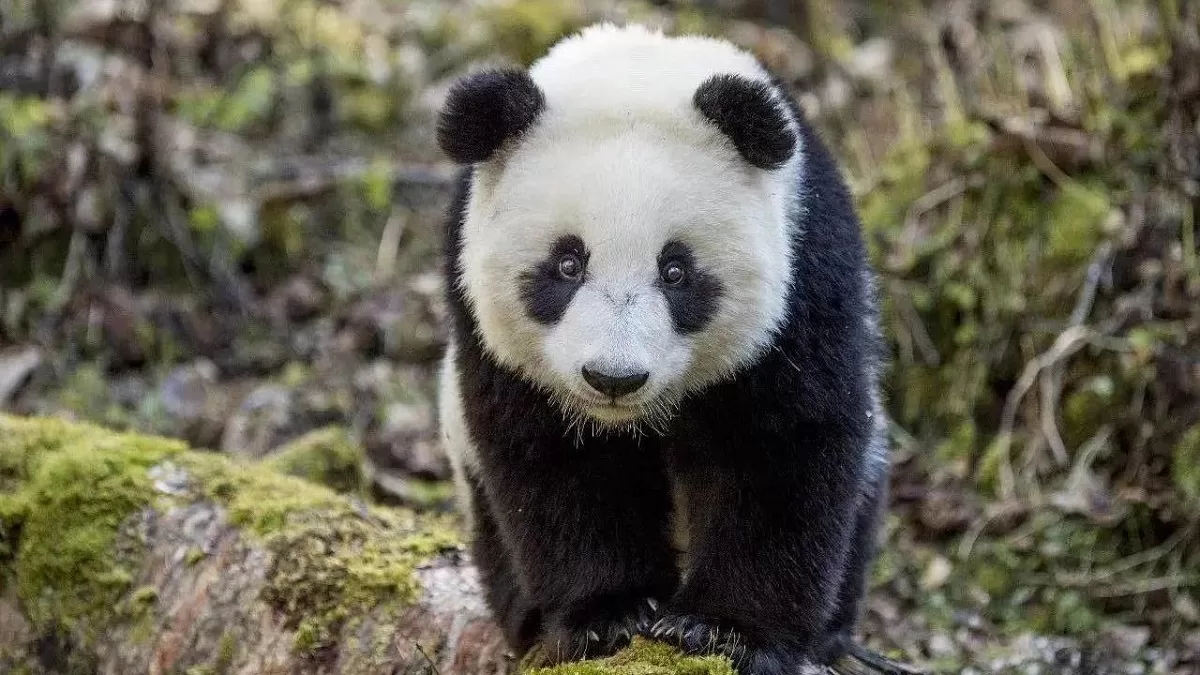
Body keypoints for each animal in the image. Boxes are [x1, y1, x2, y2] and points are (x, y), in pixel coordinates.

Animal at [434, 23, 891, 674]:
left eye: (676, 271)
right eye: (567, 264)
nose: (613, 378)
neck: (637, 72)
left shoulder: (807, 267)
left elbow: (781, 447)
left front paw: (724, 629)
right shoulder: (477, 307)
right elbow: (552, 461)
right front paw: (607, 616)